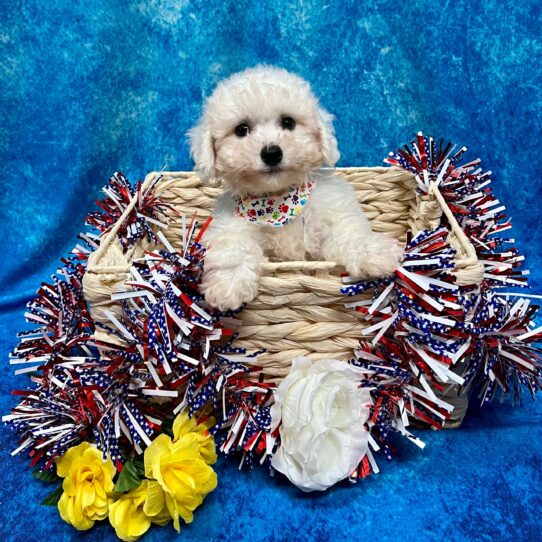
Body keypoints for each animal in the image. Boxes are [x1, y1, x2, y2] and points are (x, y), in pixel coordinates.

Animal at [189, 65, 402, 310]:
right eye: (241, 129)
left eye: (288, 122)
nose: (272, 153)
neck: (278, 200)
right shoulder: (229, 224)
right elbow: (232, 246)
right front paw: (229, 283)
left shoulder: (331, 216)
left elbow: (348, 234)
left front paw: (373, 252)